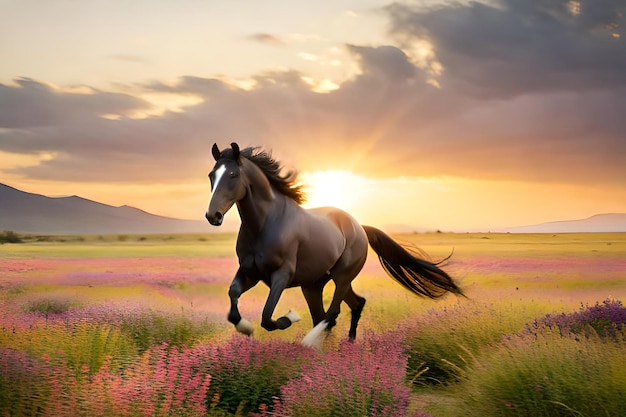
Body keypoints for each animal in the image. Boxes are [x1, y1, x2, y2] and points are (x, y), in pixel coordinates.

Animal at [205, 143, 464, 344]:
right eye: (211, 176)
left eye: (233, 175)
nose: (212, 216)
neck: (265, 224)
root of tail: (359, 226)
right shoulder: (250, 272)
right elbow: (233, 296)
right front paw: (245, 328)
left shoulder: (281, 276)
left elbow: (268, 317)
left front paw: (291, 317)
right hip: (314, 285)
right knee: (350, 306)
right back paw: (345, 345)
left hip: (342, 276)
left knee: (333, 313)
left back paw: (313, 342)